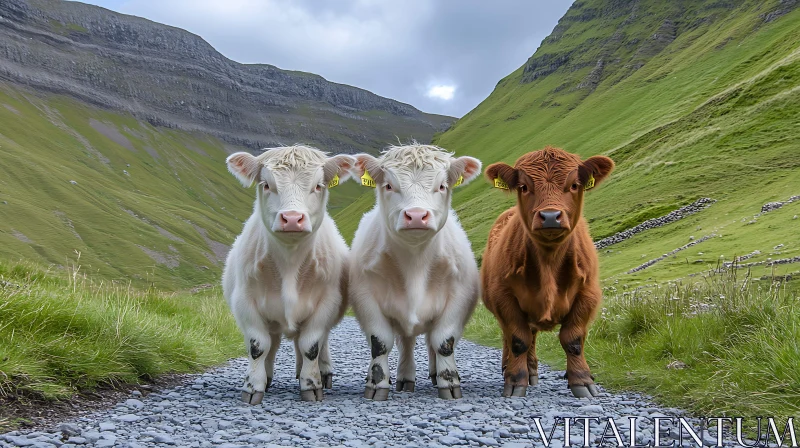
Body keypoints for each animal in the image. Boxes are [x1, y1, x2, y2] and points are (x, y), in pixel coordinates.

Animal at [222, 146, 354, 402]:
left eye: (318, 186)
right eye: (266, 184)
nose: (292, 219)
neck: (290, 264)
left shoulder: (326, 303)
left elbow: (311, 345)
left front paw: (311, 384)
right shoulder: (245, 302)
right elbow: (258, 346)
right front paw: (253, 386)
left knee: (317, 342)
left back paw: (322, 372)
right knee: (272, 344)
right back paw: (268, 376)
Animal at [346, 145, 478, 400]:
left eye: (442, 186)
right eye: (389, 185)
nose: (416, 215)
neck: (415, 264)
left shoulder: (460, 296)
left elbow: (443, 342)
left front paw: (449, 383)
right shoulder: (365, 297)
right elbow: (380, 342)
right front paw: (377, 384)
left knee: (428, 342)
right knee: (406, 343)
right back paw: (405, 378)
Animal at [482, 147, 612, 400]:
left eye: (574, 184)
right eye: (523, 186)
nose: (550, 216)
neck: (548, 263)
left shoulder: (588, 293)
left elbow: (573, 339)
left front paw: (581, 380)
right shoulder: (504, 298)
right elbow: (517, 339)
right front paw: (515, 381)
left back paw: (531, 371)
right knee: (512, 337)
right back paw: (512, 368)